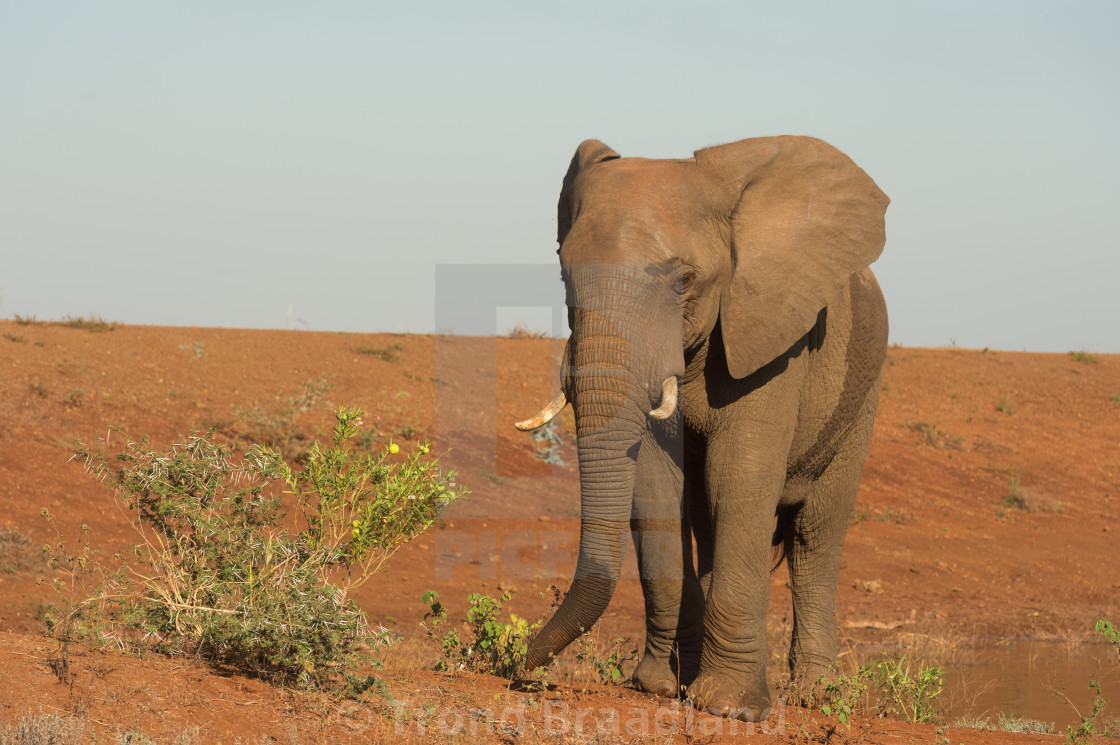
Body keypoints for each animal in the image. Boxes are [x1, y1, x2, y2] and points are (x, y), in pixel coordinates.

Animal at [515, 134, 891, 721]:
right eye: (562, 274)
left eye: (684, 279)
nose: (521, 668)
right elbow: (656, 487)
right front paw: (659, 688)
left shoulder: (774, 333)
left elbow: (739, 477)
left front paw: (731, 709)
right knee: (709, 519)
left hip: (863, 393)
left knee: (814, 535)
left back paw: (816, 697)